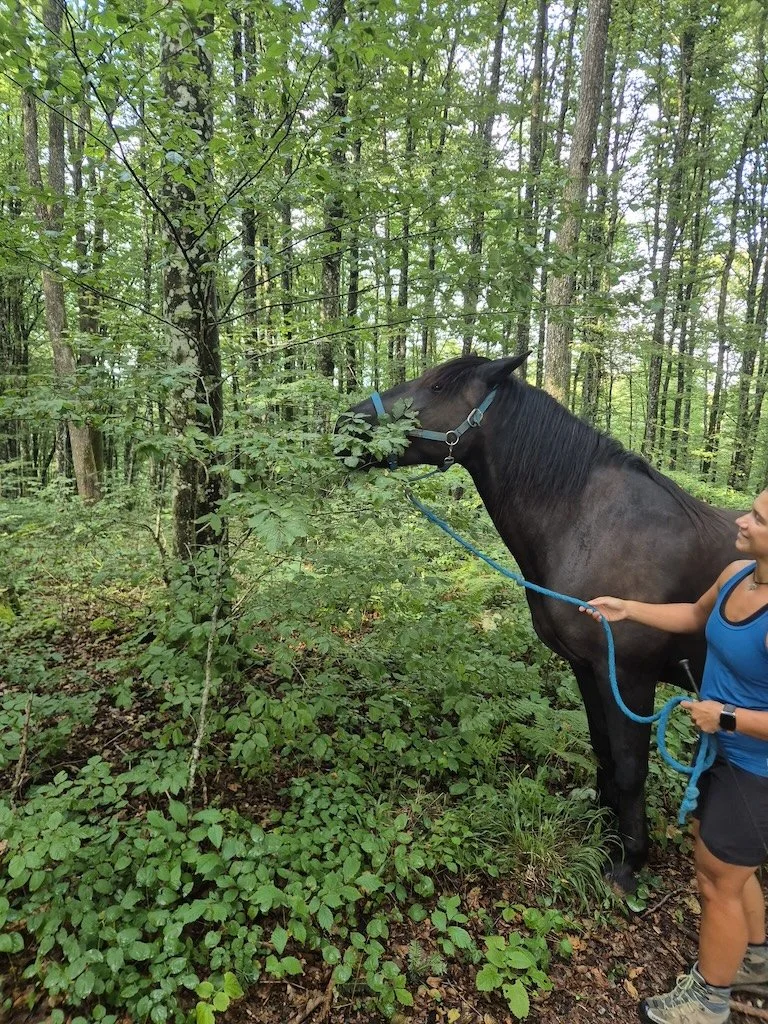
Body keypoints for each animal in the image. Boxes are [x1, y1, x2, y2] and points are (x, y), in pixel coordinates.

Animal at [341, 353, 740, 889]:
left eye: (439, 386)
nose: (347, 423)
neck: (591, 525)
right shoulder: (587, 668)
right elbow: (603, 750)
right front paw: (603, 833)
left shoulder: (629, 676)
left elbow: (631, 766)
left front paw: (628, 861)